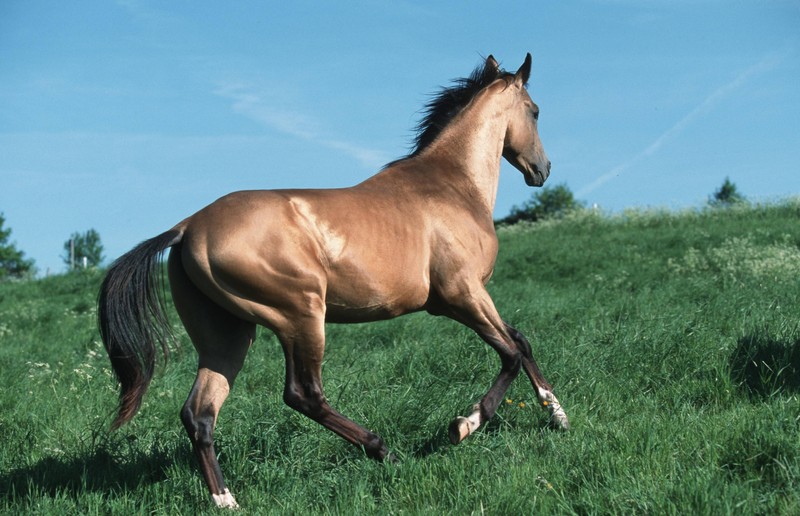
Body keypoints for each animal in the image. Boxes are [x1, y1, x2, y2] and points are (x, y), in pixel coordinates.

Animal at [98, 53, 568, 508]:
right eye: (536, 111)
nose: (542, 170)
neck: (452, 186)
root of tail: (187, 227)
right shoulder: (460, 294)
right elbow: (510, 353)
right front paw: (463, 425)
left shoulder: (471, 297)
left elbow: (521, 341)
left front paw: (557, 414)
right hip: (300, 316)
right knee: (302, 394)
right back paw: (384, 451)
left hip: (226, 336)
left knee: (199, 412)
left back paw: (226, 499)